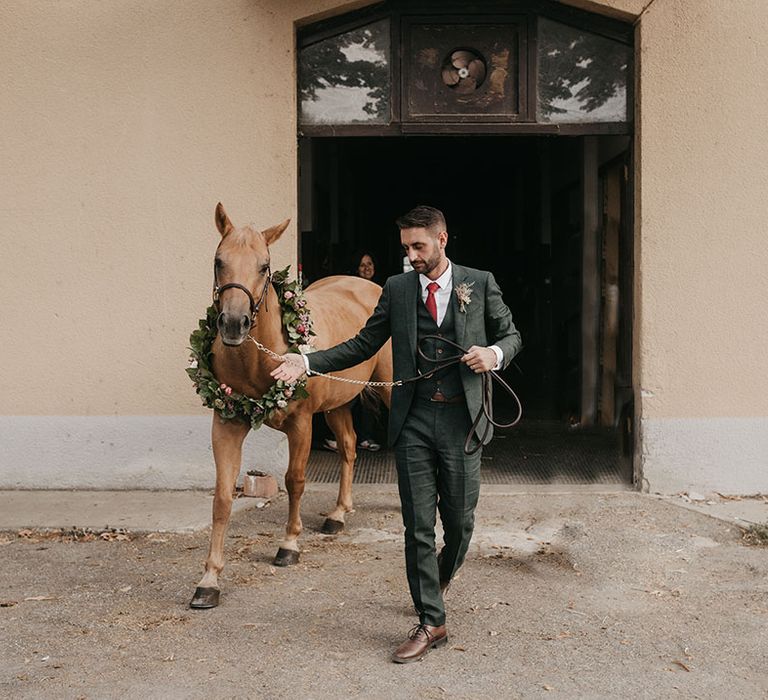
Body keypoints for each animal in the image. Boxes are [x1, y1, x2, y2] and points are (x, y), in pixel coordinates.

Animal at [190, 202, 392, 608]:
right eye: (219, 261)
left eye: (265, 265)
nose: (233, 324)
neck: (261, 357)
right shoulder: (227, 423)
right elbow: (222, 498)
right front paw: (209, 579)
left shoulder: (301, 423)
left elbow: (295, 481)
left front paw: (289, 544)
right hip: (337, 404)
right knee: (349, 447)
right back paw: (338, 514)